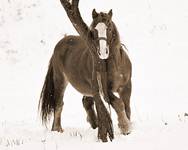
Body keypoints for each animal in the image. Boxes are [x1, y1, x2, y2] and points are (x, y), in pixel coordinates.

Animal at [38, 8, 131, 137]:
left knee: (86, 102)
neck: (116, 65)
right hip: (60, 80)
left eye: (109, 28)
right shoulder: (105, 91)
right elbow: (119, 104)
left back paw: (95, 124)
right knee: (59, 103)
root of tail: (60, 43)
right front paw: (125, 127)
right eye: (93, 30)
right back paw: (57, 129)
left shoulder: (126, 87)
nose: (103, 52)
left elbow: (127, 107)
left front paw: (128, 126)